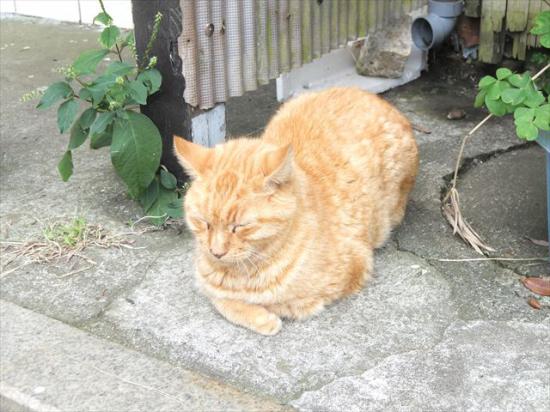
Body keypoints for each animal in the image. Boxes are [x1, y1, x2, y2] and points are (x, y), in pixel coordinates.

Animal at [175, 87, 420, 334]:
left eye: (240, 226)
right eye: (203, 222)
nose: (216, 252)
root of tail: (374, 97)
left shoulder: (350, 272)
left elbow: (277, 300)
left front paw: (263, 316)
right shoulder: (206, 281)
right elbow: (220, 298)